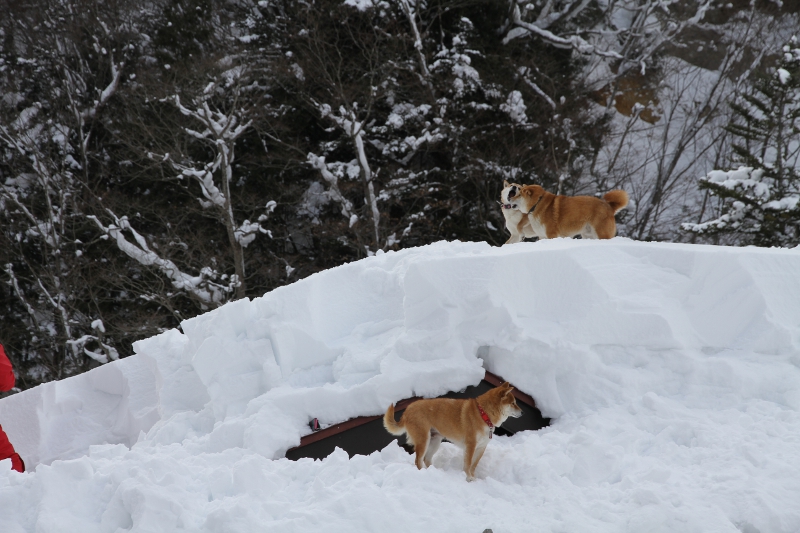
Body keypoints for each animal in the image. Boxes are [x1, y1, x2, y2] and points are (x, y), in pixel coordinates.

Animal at [382, 380, 520, 480]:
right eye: (513, 403)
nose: (522, 412)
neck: (483, 414)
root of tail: (407, 411)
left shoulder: (481, 447)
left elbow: (474, 465)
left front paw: (473, 478)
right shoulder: (471, 445)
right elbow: (468, 464)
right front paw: (468, 478)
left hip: (435, 441)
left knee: (426, 459)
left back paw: (435, 472)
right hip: (423, 440)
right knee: (418, 461)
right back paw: (423, 473)